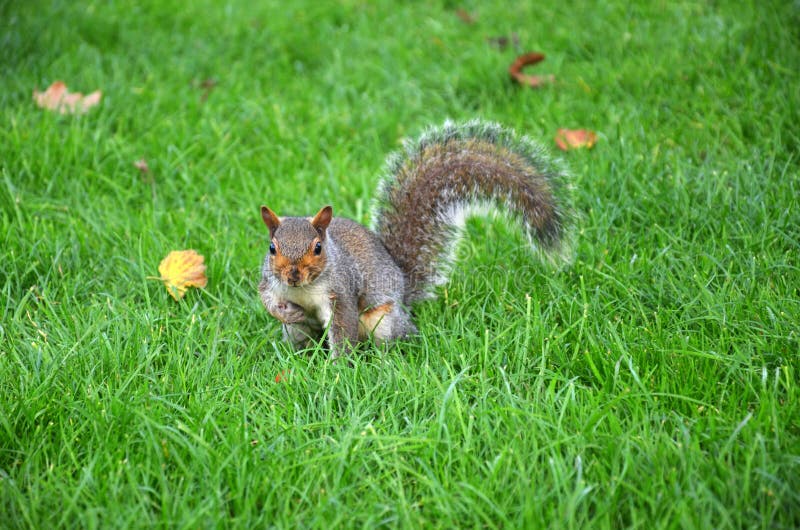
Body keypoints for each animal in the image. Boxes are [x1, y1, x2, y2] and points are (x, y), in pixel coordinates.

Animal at [258, 120, 574, 358]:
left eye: (318, 248)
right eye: (272, 248)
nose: (293, 276)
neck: (305, 289)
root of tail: (402, 285)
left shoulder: (342, 291)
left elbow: (343, 331)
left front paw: (337, 371)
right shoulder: (270, 281)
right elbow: (267, 298)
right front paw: (284, 312)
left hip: (383, 320)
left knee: (395, 339)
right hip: (300, 332)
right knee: (303, 337)